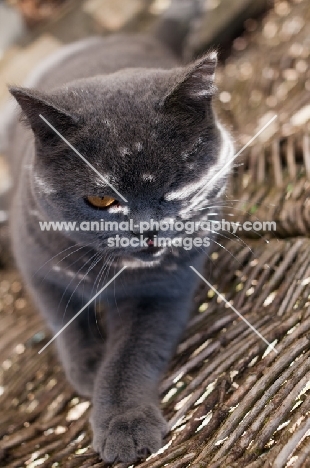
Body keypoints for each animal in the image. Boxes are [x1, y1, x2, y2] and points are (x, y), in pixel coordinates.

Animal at [5, 7, 232, 464]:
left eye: (176, 185)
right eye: (100, 199)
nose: (146, 230)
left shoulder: (162, 289)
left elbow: (130, 355)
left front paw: (123, 423)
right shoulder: (34, 260)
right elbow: (63, 317)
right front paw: (88, 366)